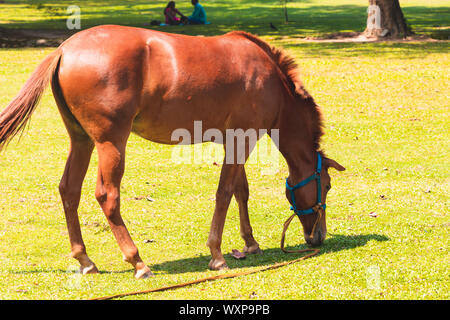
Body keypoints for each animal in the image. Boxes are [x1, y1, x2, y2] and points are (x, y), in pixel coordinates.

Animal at [0, 26, 344, 278]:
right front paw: (217, 254)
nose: (318, 236)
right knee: (108, 196)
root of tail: (64, 49)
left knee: (69, 190)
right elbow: (224, 193)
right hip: (111, 143)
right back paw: (137, 261)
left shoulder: (234, 140)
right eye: (326, 185)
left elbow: (240, 192)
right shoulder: (243, 140)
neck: (269, 77)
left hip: (81, 141)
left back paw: (85, 259)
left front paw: (250, 243)